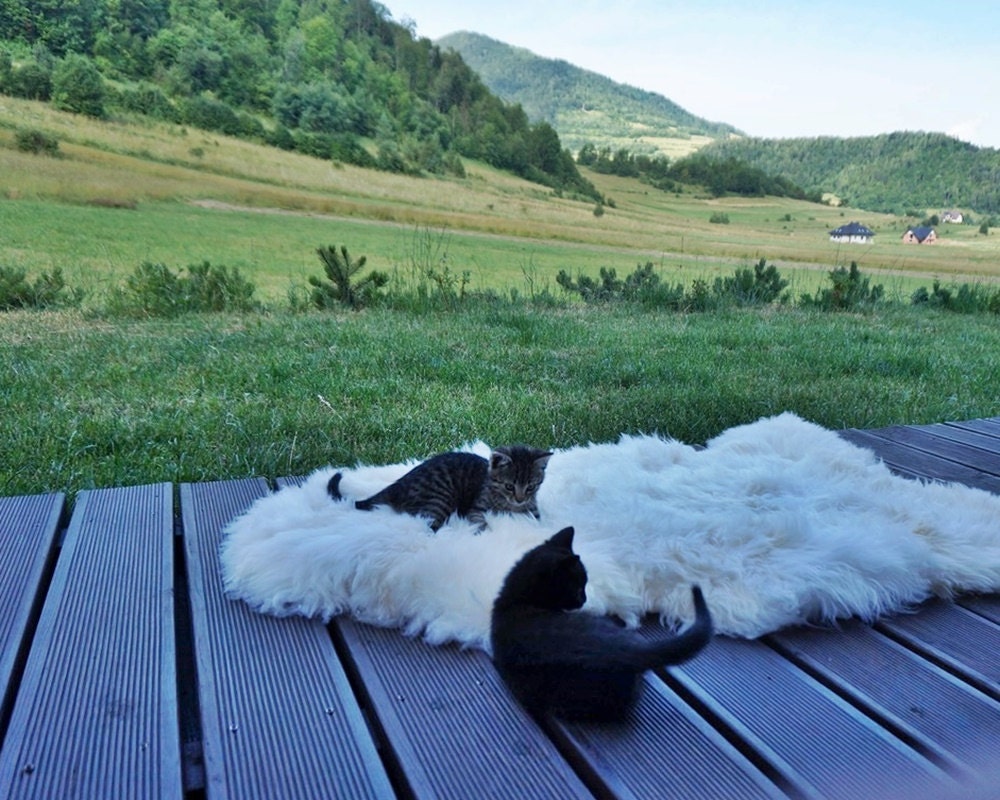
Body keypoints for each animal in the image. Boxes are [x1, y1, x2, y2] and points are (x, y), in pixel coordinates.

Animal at [328, 444, 552, 532]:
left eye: (531, 487)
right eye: (509, 486)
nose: (520, 499)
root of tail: (399, 484)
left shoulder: (533, 511)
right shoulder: (476, 507)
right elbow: (480, 520)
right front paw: (488, 531)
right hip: (441, 497)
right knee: (427, 526)